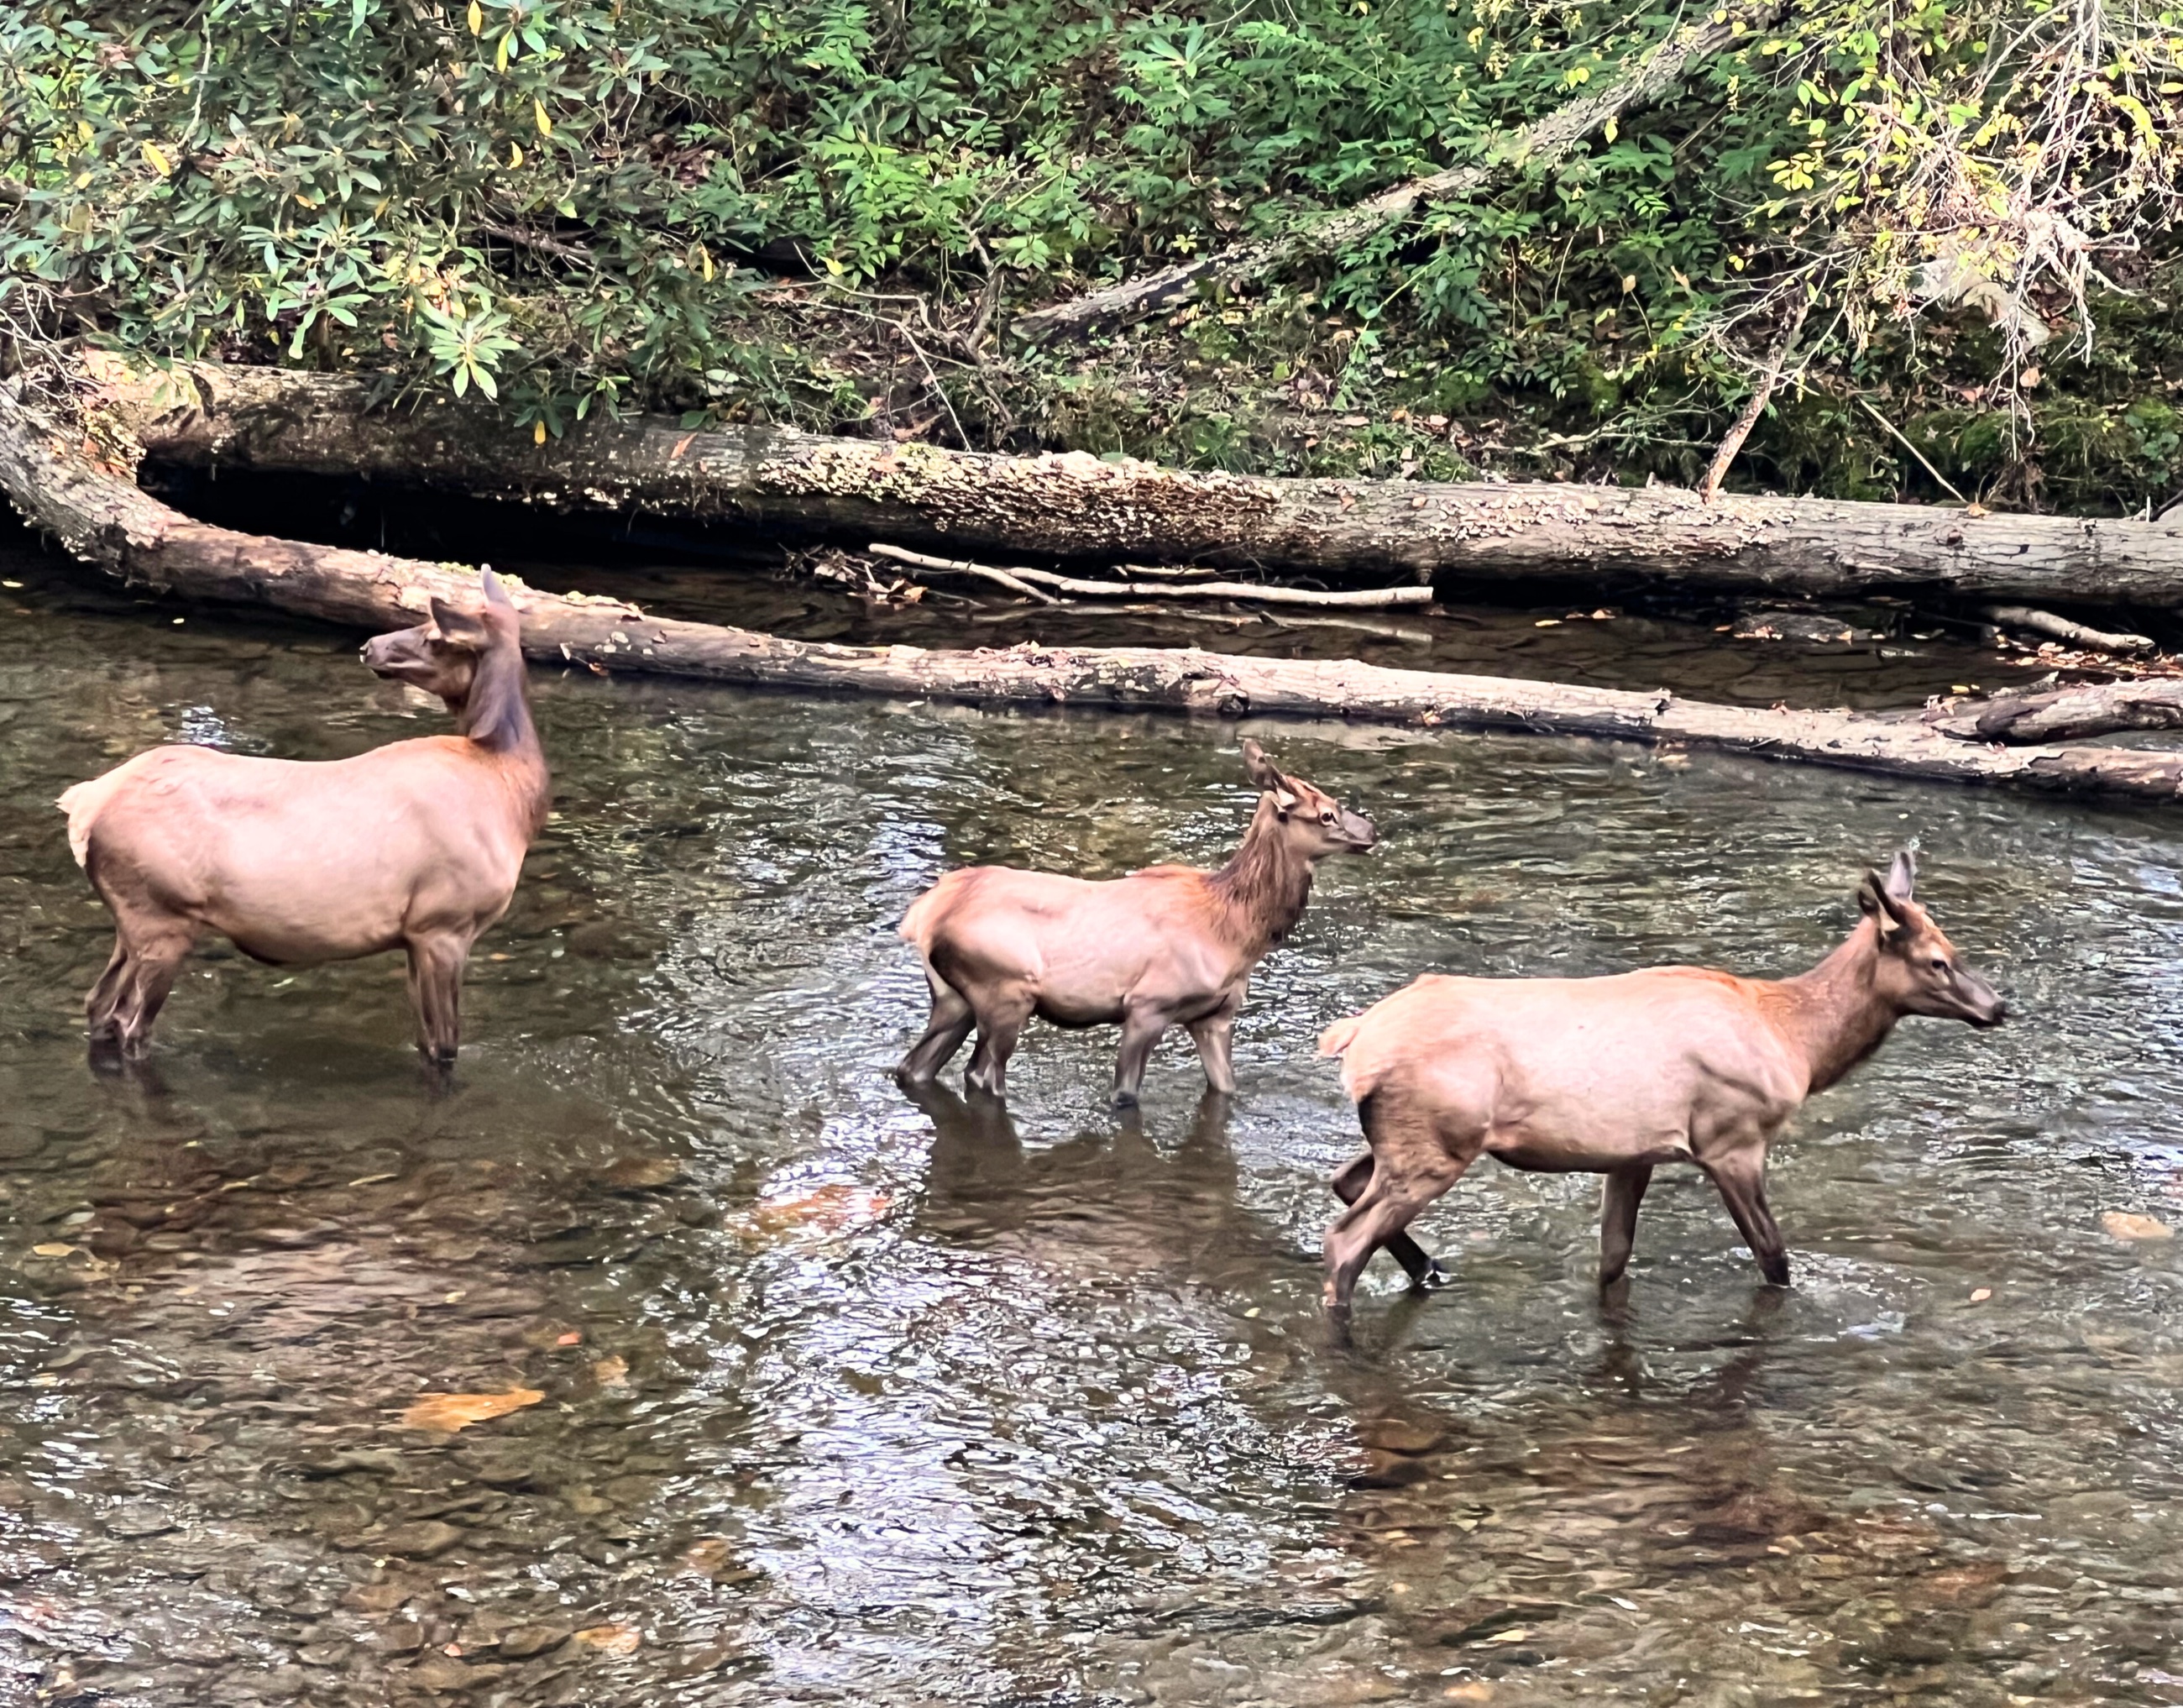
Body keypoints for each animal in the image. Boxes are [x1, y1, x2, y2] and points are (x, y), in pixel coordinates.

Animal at [58, 569, 549, 1065]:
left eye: (434, 635)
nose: (369, 646)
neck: (511, 790)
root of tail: (83, 805)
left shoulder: (417, 936)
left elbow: (426, 1040)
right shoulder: (443, 924)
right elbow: (443, 1048)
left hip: (133, 920)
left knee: (98, 1004)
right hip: (162, 914)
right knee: (129, 1024)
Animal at [896, 739, 1377, 1105]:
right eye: (1326, 814)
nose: (1371, 831)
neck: (1239, 932)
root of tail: (922, 916)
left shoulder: (1214, 1017)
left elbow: (1226, 1090)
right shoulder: (1148, 1004)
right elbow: (1125, 1095)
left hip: (954, 999)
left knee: (913, 1068)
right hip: (1006, 990)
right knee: (981, 1076)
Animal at [1315, 853, 2004, 1315]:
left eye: (1957, 949)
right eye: (1937, 962)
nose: (1997, 1007)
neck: (1798, 1044)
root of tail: (1353, 1038)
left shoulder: (1633, 1153)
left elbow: (1613, 1261)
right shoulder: (1731, 1139)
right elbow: (1774, 1257)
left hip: (1411, 1139)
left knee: (1345, 1181)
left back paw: (1431, 1270)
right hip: (1436, 1142)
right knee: (1344, 1241)